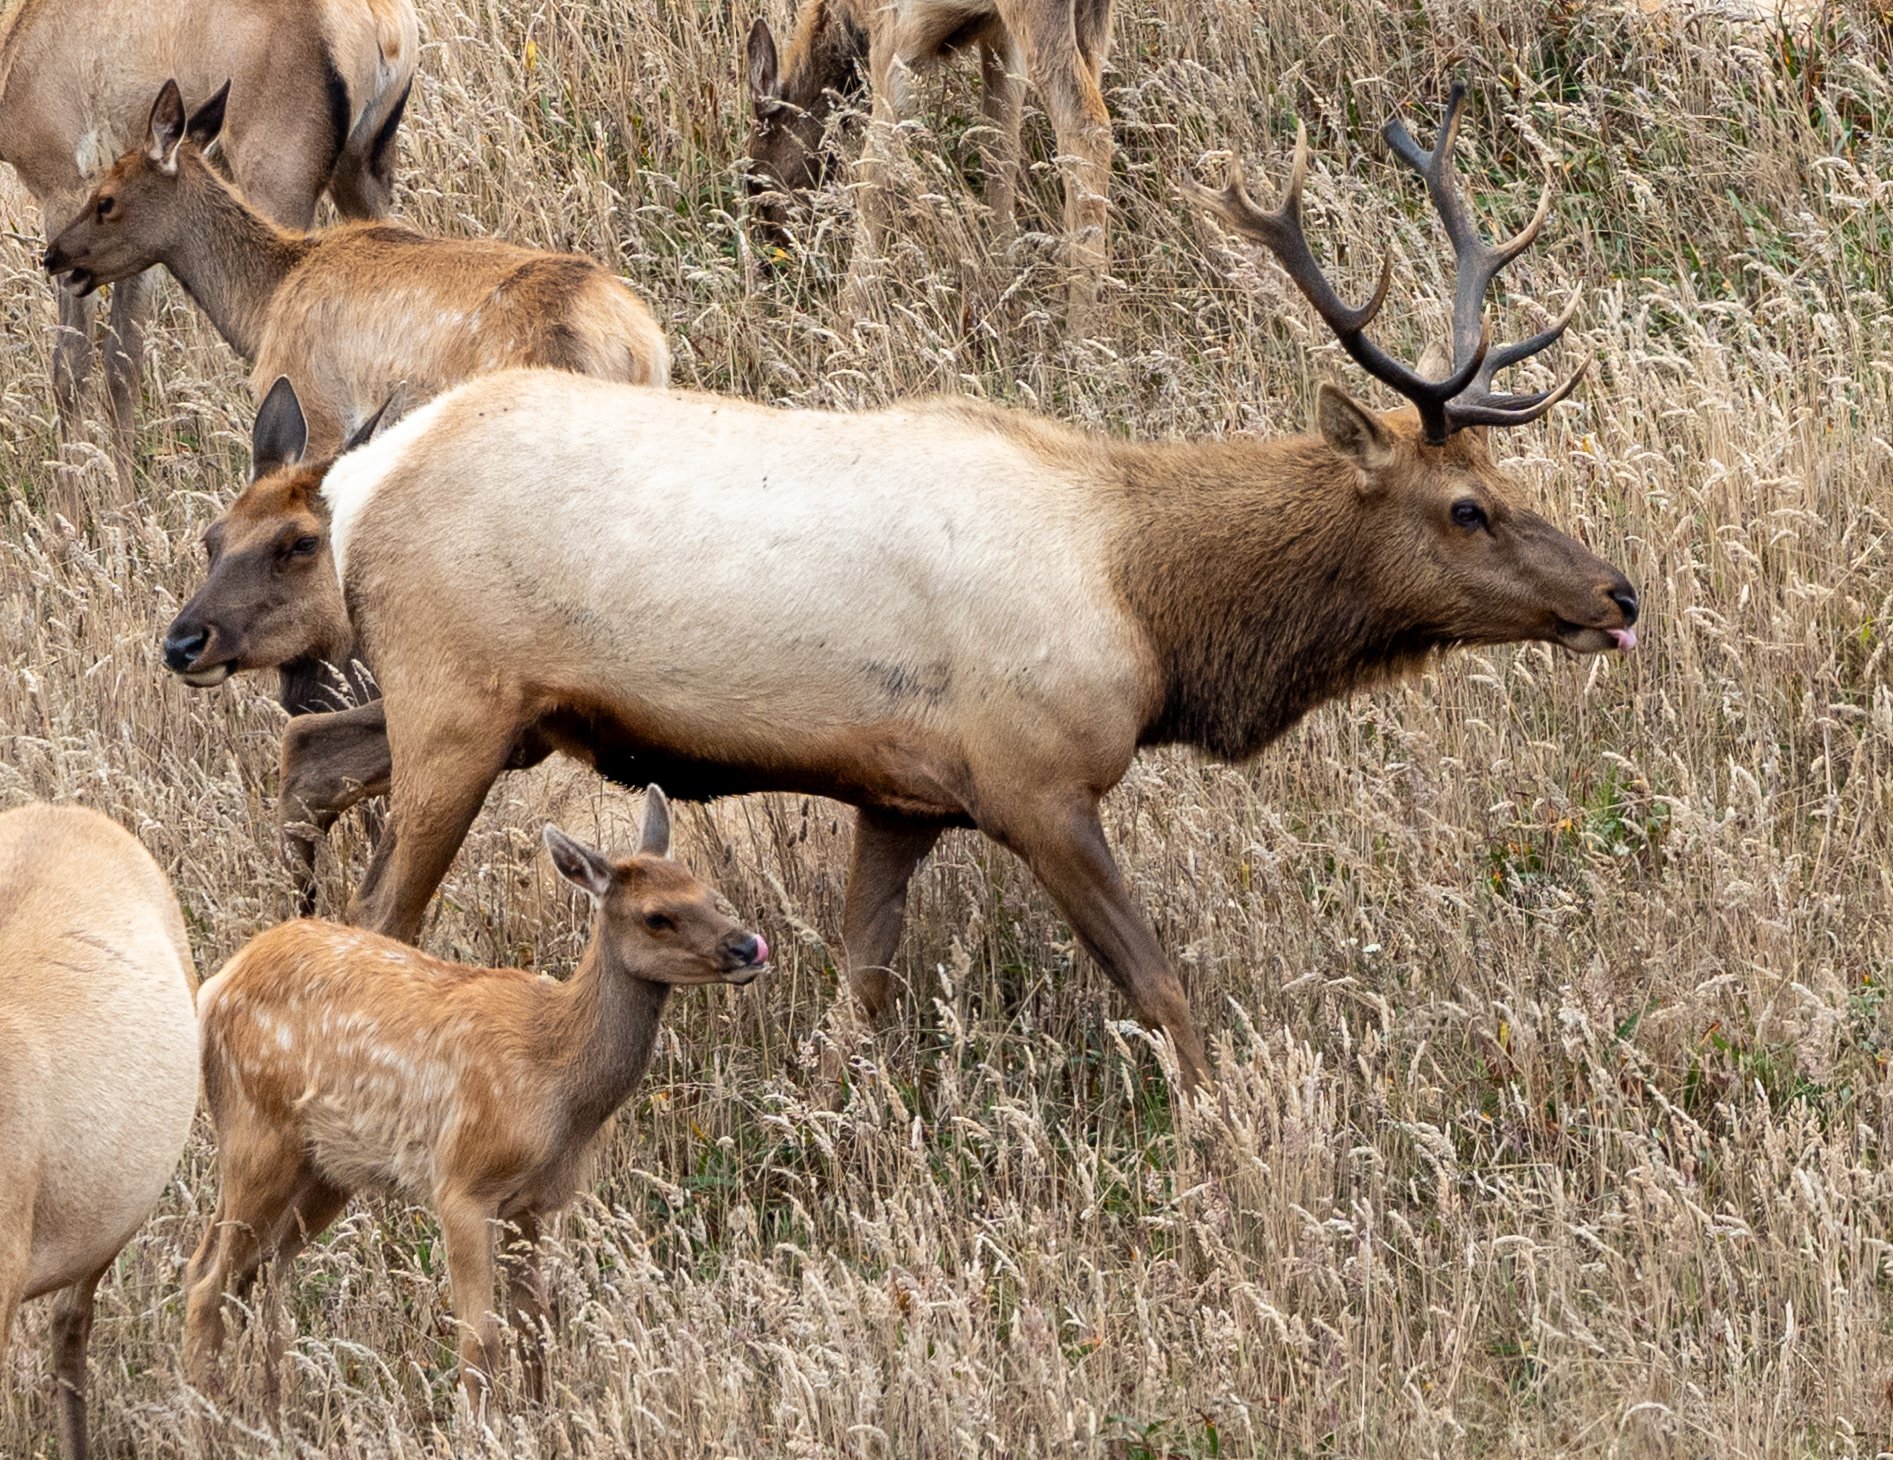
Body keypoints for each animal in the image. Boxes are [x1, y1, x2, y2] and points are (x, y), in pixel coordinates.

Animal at [0, 0, 418, 478]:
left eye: (104, 203)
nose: (51, 258)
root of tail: (380, 20)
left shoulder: (62, 192)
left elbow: (70, 367)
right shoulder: (142, 245)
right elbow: (122, 364)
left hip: (281, 191)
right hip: (362, 179)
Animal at [170, 89, 1637, 1090]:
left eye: (1503, 472)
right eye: (1465, 507)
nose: (1618, 593)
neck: (1149, 608)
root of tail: (359, 488)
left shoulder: (901, 794)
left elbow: (857, 994)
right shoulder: (1036, 780)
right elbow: (1165, 990)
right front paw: (1222, 1140)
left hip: (489, 708)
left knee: (308, 753)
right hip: (457, 704)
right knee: (385, 904)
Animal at [183, 787, 769, 1402]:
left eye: (709, 893)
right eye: (657, 916)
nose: (749, 946)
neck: (557, 1079)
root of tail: (216, 985)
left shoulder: (533, 1204)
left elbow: (535, 1330)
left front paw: (542, 1416)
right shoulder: (463, 1183)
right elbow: (479, 1343)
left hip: (326, 1168)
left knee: (252, 1273)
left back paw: (268, 1405)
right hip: (257, 1134)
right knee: (209, 1282)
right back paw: (208, 1410)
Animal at [745, 0, 1113, 321]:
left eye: (758, 184)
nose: (773, 261)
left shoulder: (892, 35)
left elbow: (876, 168)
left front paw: (850, 312)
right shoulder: (998, 33)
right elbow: (999, 143)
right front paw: (1003, 271)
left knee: (1085, 123)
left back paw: (1080, 329)